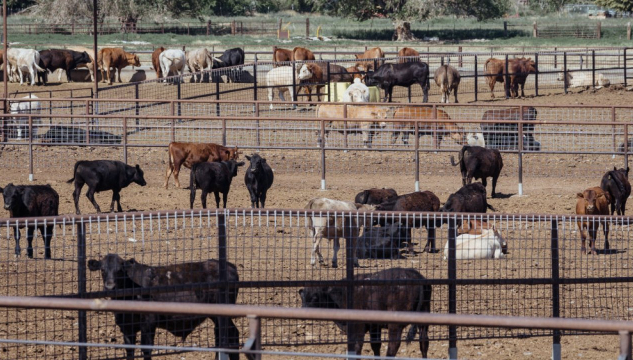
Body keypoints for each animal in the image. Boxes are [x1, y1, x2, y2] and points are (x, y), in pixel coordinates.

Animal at [90, 253, 243, 360]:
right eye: (102, 270)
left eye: (120, 270)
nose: (110, 286)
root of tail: (231, 266)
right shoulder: (126, 327)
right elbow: (130, 351)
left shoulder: (148, 324)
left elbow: (146, 349)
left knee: (232, 335)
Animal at [300, 268, 430, 358]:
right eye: (302, 297)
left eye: (315, 297)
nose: (302, 312)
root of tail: (414, 274)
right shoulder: (374, 326)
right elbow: (375, 345)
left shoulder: (358, 326)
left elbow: (357, 346)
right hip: (424, 319)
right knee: (424, 342)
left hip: (395, 325)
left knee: (393, 346)